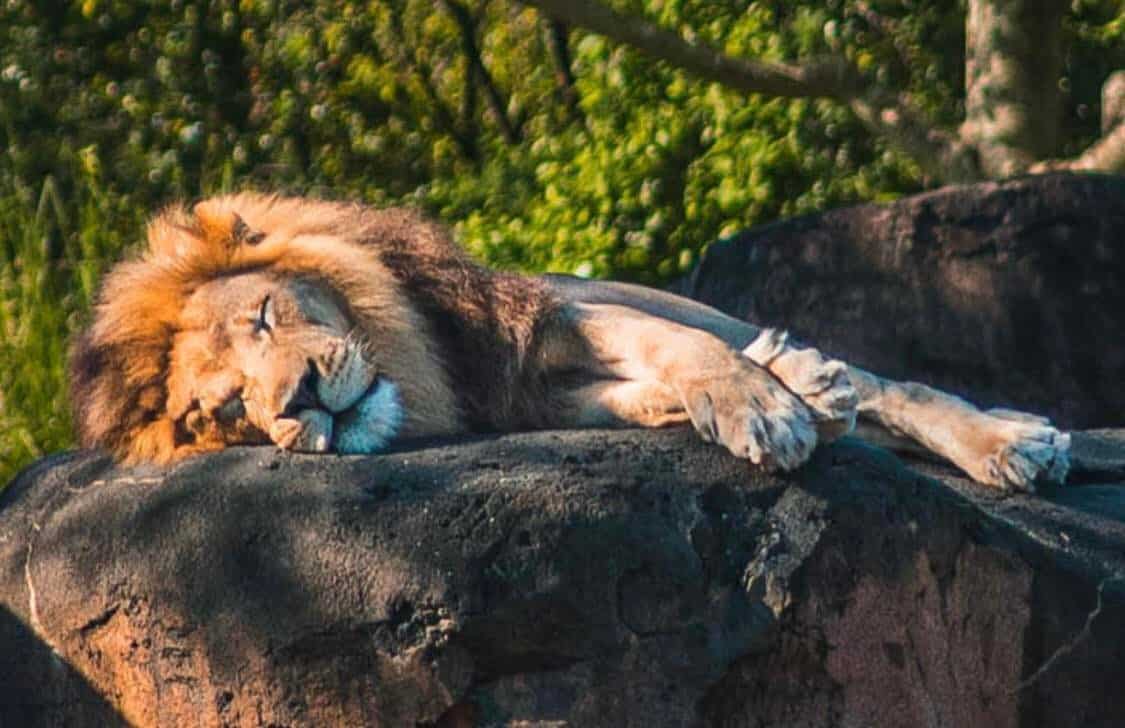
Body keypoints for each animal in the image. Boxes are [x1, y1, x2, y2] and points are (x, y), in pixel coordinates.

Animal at [69, 193, 1070, 491]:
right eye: (229, 410)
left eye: (266, 316)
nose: (302, 399)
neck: (424, 375)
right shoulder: (530, 392)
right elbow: (645, 390)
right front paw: (765, 401)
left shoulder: (545, 317)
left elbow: (686, 353)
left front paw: (766, 408)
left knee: (886, 383)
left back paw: (1012, 440)